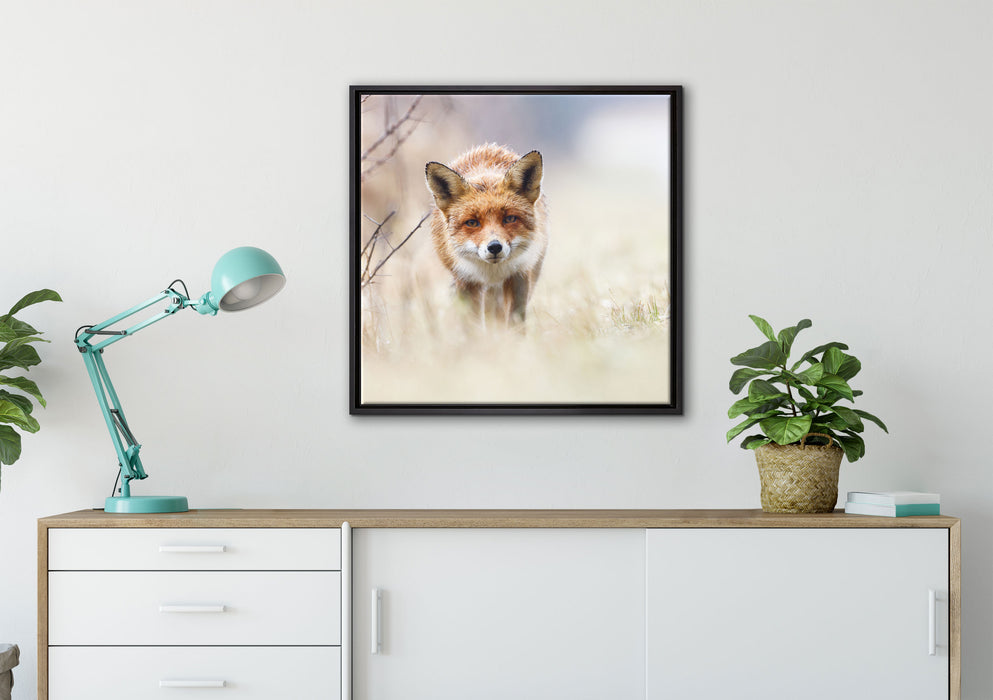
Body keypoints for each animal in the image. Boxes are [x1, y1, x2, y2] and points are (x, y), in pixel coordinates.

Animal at [425, 144, 548, 327]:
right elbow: (472, 325)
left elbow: (515, 321)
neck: (492, 272)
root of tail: (487, 146)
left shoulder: (519, 275)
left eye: (509, 219)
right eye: (472, 222)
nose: (495, 247)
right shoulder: (465, 281)